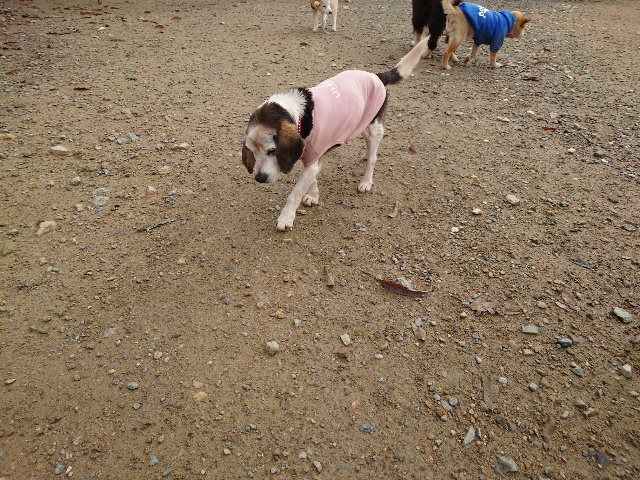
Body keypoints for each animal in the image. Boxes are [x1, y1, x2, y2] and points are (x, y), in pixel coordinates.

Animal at [242, 38, 429, 231]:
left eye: (272, 151)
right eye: (253, 152)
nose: (259, 178)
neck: (300, 115)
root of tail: (376, 76)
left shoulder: (313, 158)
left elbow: (295, 193)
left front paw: (286, 218)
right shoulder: (313, 157)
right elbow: (312, 179)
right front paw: (313, 195)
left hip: (375, 127)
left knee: (373, 157)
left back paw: (366, 181)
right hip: (360, 124)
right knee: (367, 143)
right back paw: (365, 154)